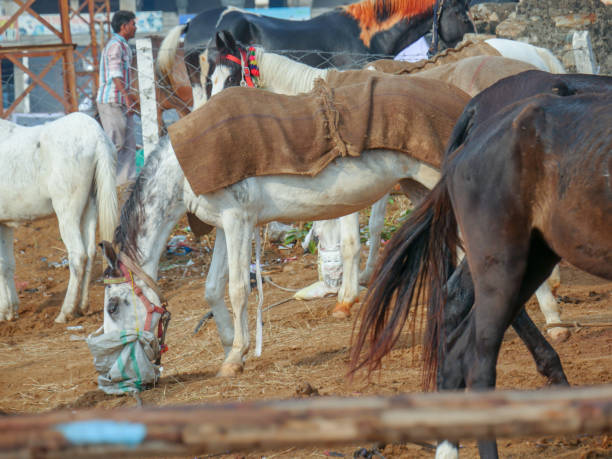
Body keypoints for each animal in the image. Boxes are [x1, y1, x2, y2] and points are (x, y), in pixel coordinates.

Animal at [0, 113, 119, 324]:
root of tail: (97, 136)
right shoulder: (5, 224)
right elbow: (7, 265)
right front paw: (10, 311)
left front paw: (4, 311)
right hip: (90, 206)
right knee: (90, 252)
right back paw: (82, 307)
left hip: (67, 211)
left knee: (78, 255)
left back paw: (66, 312)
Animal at [97, 73, 468, 378]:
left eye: (113, 306)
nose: (114, 372)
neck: (182, 167)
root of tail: (460, 97)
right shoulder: (226, 226)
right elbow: (213, 288)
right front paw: (231, 343)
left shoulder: (238, 222)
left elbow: (237, 289)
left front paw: (235, 357)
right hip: (419, 188)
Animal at [208, 28, 572, 338]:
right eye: (209, 80)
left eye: (231, 79)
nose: (209, 119)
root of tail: (537, 61)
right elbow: (376, 224)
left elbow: (353, 238)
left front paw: (346, 298)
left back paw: (551, 314)